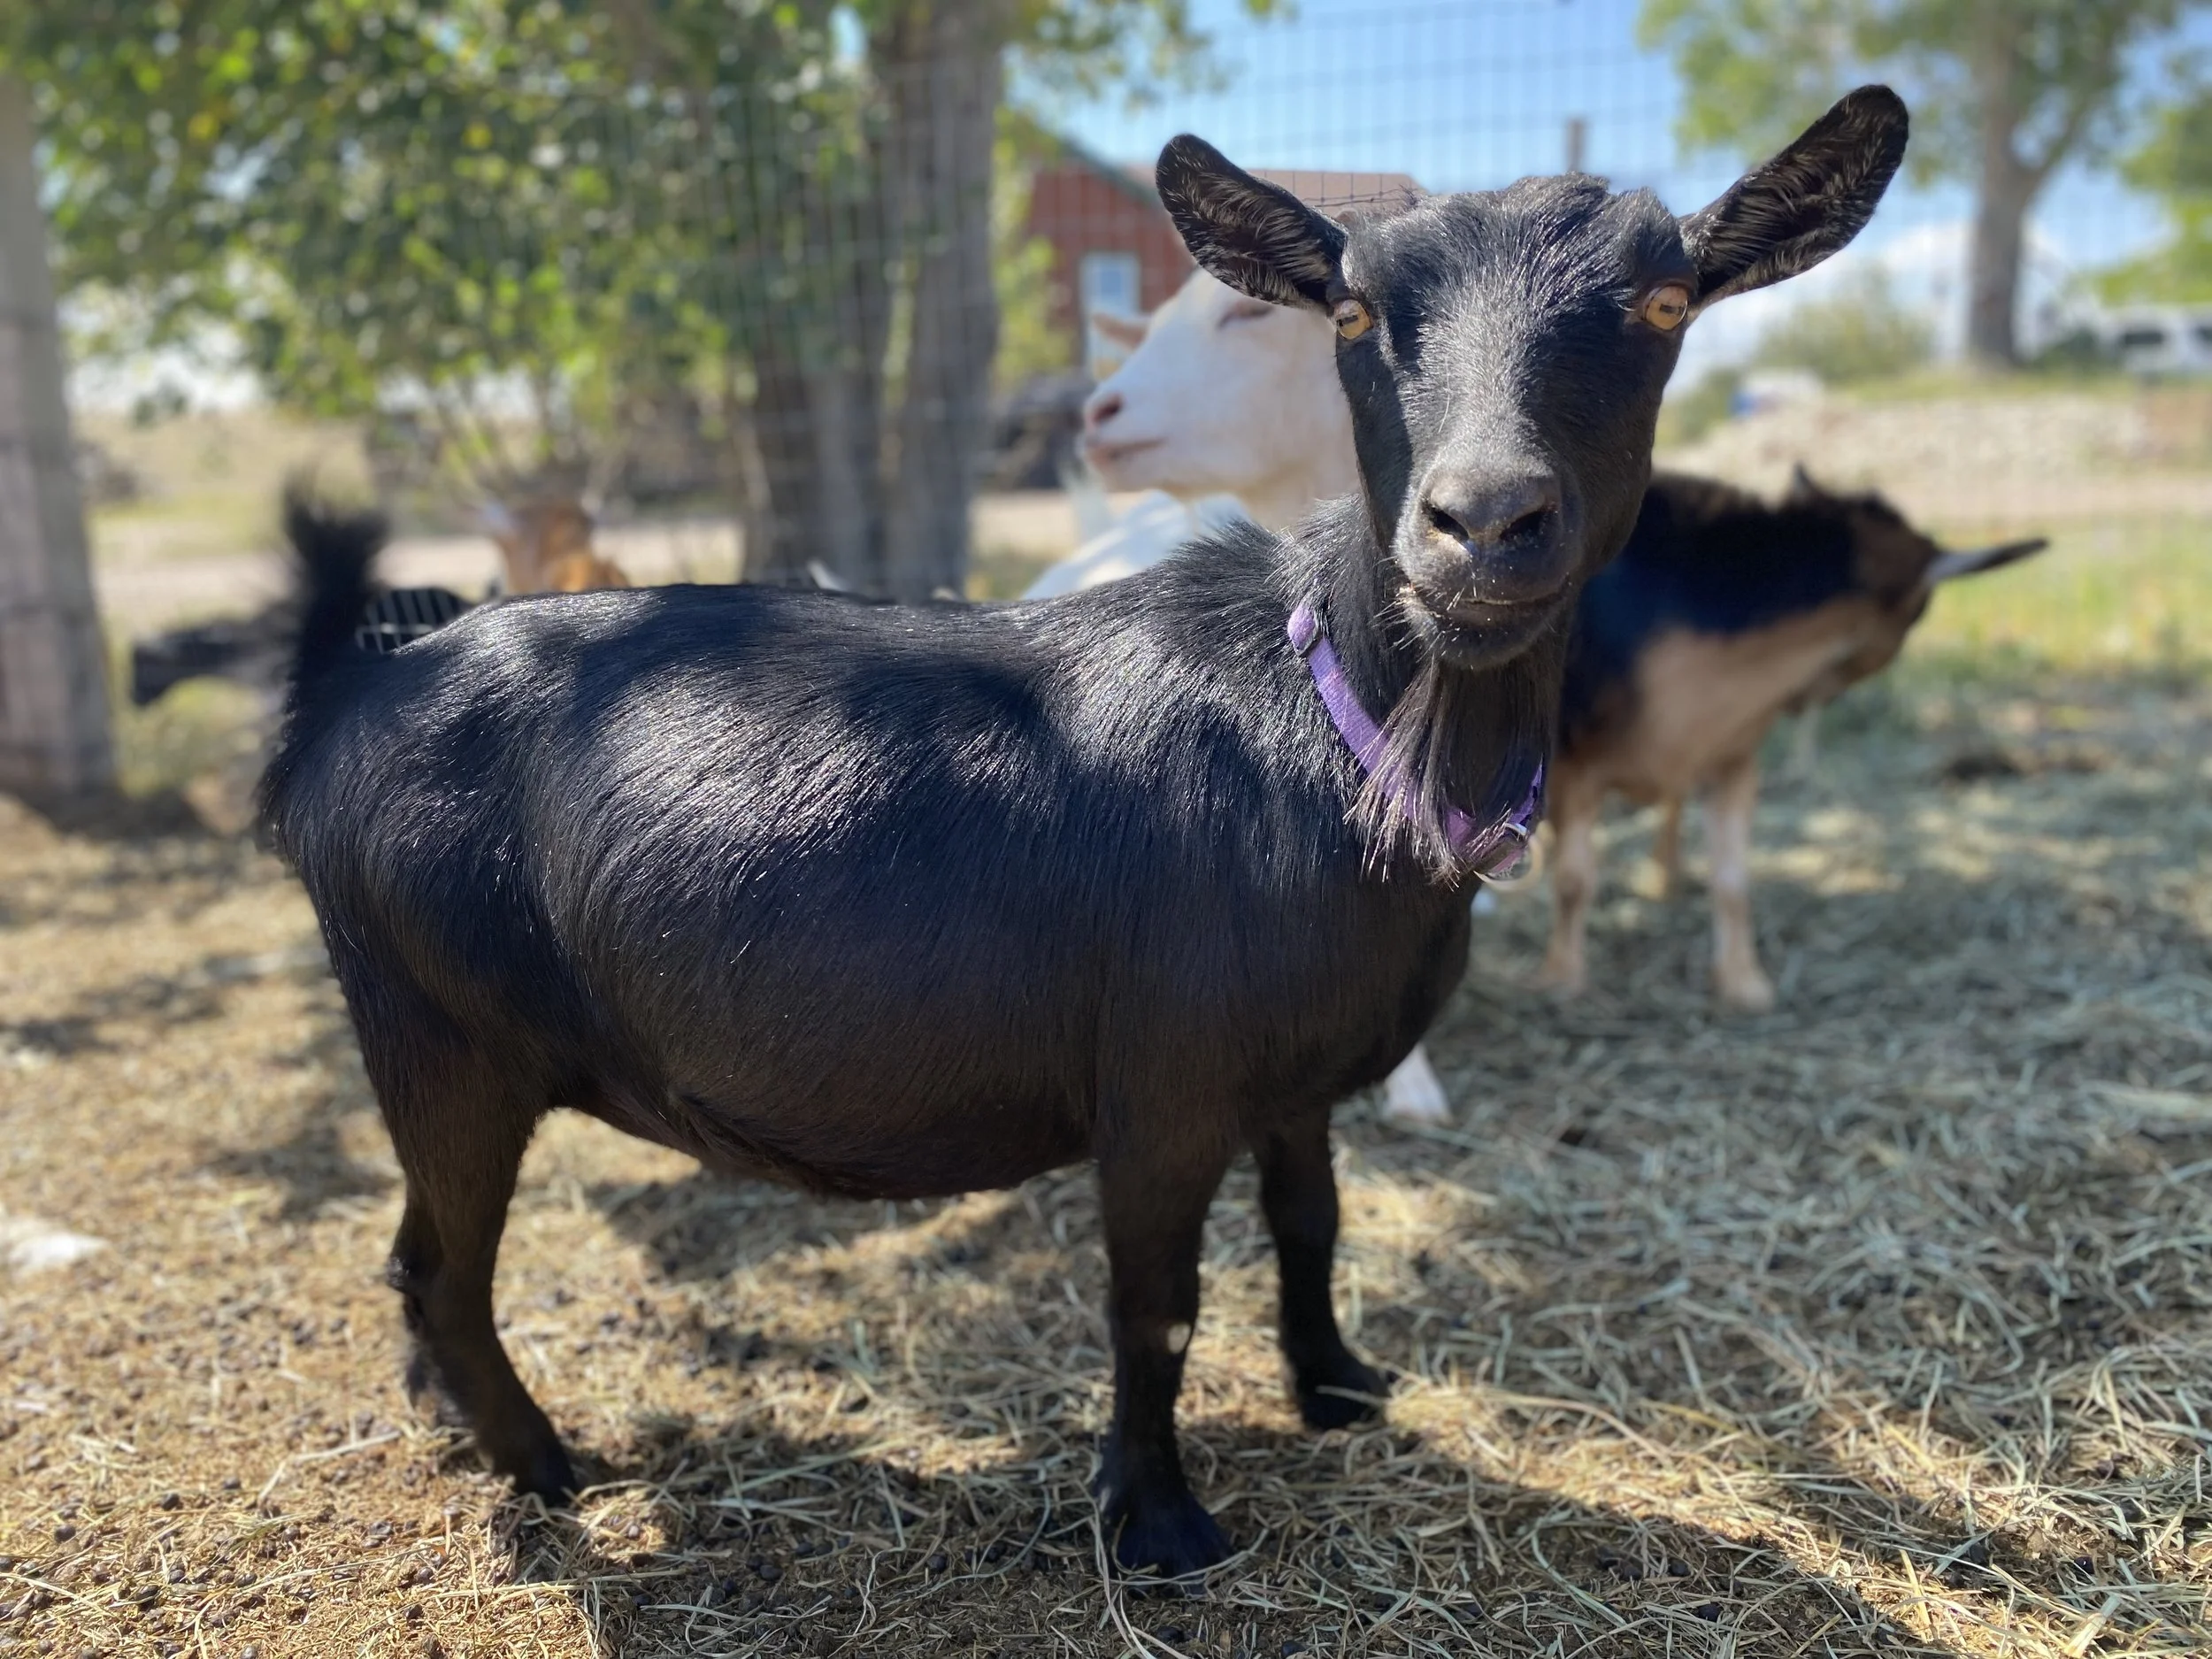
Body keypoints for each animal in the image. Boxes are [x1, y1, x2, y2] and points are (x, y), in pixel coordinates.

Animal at [259, 92, 1906, 1579]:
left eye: (1667, 298)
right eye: (1355, 309)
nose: (1484, 520)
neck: (1332, 739)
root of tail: (352, 689)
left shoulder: (1294, 1076)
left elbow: (1313, 1224)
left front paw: (1338, 1388)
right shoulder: (1163, 1084)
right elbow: (1156, 1305)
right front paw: (1162, 1524)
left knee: (413, 1261)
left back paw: (453, 1419)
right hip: (437, 1030)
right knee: (440, 1265)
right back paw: (544, 1467)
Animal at [1537, 466, 2045, 1008]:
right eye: (1917, 614)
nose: (1810, 700)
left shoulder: (1732, 759)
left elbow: (1733, 881)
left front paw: (1744, 983)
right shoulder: (1575, 764)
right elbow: (1573, 880)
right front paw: (1562, 979)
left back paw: (1668, 876)